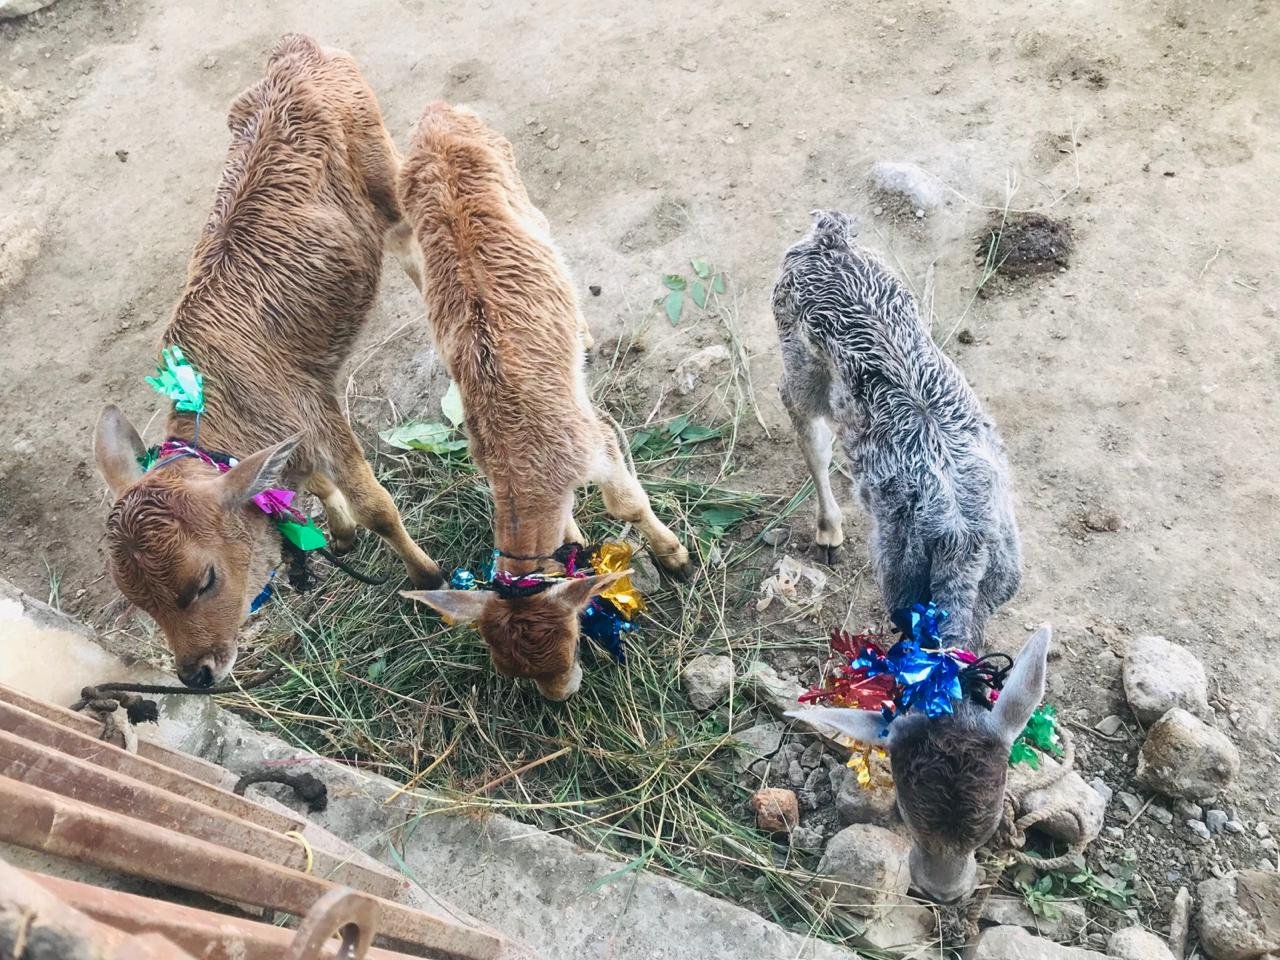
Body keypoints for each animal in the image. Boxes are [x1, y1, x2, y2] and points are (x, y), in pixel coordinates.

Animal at [93, 35, 443, 689]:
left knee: (409, 233)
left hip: (381, 166)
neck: (230, 393)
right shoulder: (293, 438)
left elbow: (378, 505)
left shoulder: (319, 410)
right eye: (136, 601)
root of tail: (296, 50)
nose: (197, 674)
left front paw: (426, 578)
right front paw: (341, 534)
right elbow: (315, 483)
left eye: (203, 579)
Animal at [396, 102, 691, 701]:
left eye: (572, 642)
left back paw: (582, 334)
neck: (524, 456)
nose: (563, 695)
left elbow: (626, 502)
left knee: (551, 240)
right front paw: (573, 540)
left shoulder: (594, 440)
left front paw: (675, 557)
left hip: (519, 185)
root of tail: (439, 113)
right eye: (509, 666)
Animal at [774, 210, 1043, 903]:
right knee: (804, 420)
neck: (964, 554)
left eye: (991, 819)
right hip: (794, 348)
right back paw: (829, 528)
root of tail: (825, 236)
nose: (942, 891)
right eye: (902, 807)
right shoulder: (895, 582)